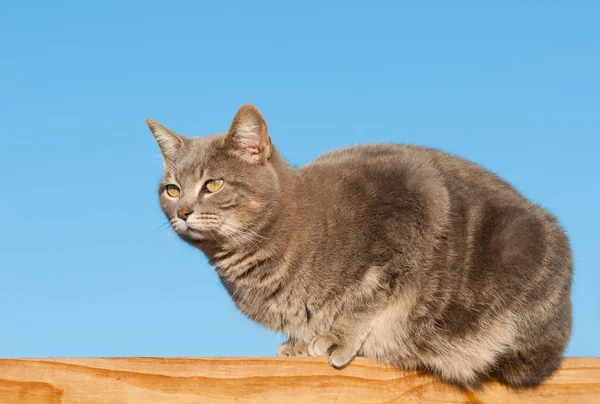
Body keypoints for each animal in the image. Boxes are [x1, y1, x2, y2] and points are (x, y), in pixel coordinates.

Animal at [148, 104, 576, 388]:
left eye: (213, 184)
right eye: (172, 189)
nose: (182, 211)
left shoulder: (413, 207)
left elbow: (370, 297)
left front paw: (337, 336)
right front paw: (299, 343)